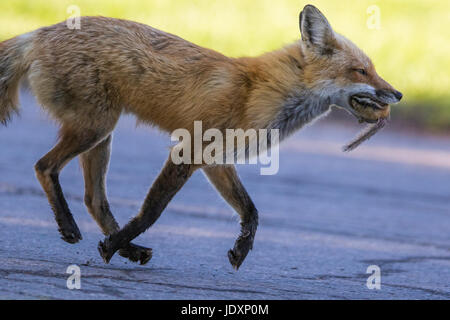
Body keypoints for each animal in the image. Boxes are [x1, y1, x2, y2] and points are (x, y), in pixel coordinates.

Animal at [0, 5, 400, 270]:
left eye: (374, 69)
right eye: (360, 71)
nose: (397, 94)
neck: (257, 92)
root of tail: (38, 32)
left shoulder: (215, 159)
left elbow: (251, 211)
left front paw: (241, 250)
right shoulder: (188, 150)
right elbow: (152, 211)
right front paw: (112, 246)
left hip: (101, 135)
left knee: (93, 199)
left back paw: (129, 249)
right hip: (94, 127)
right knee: (44, 167)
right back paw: (75, 230)